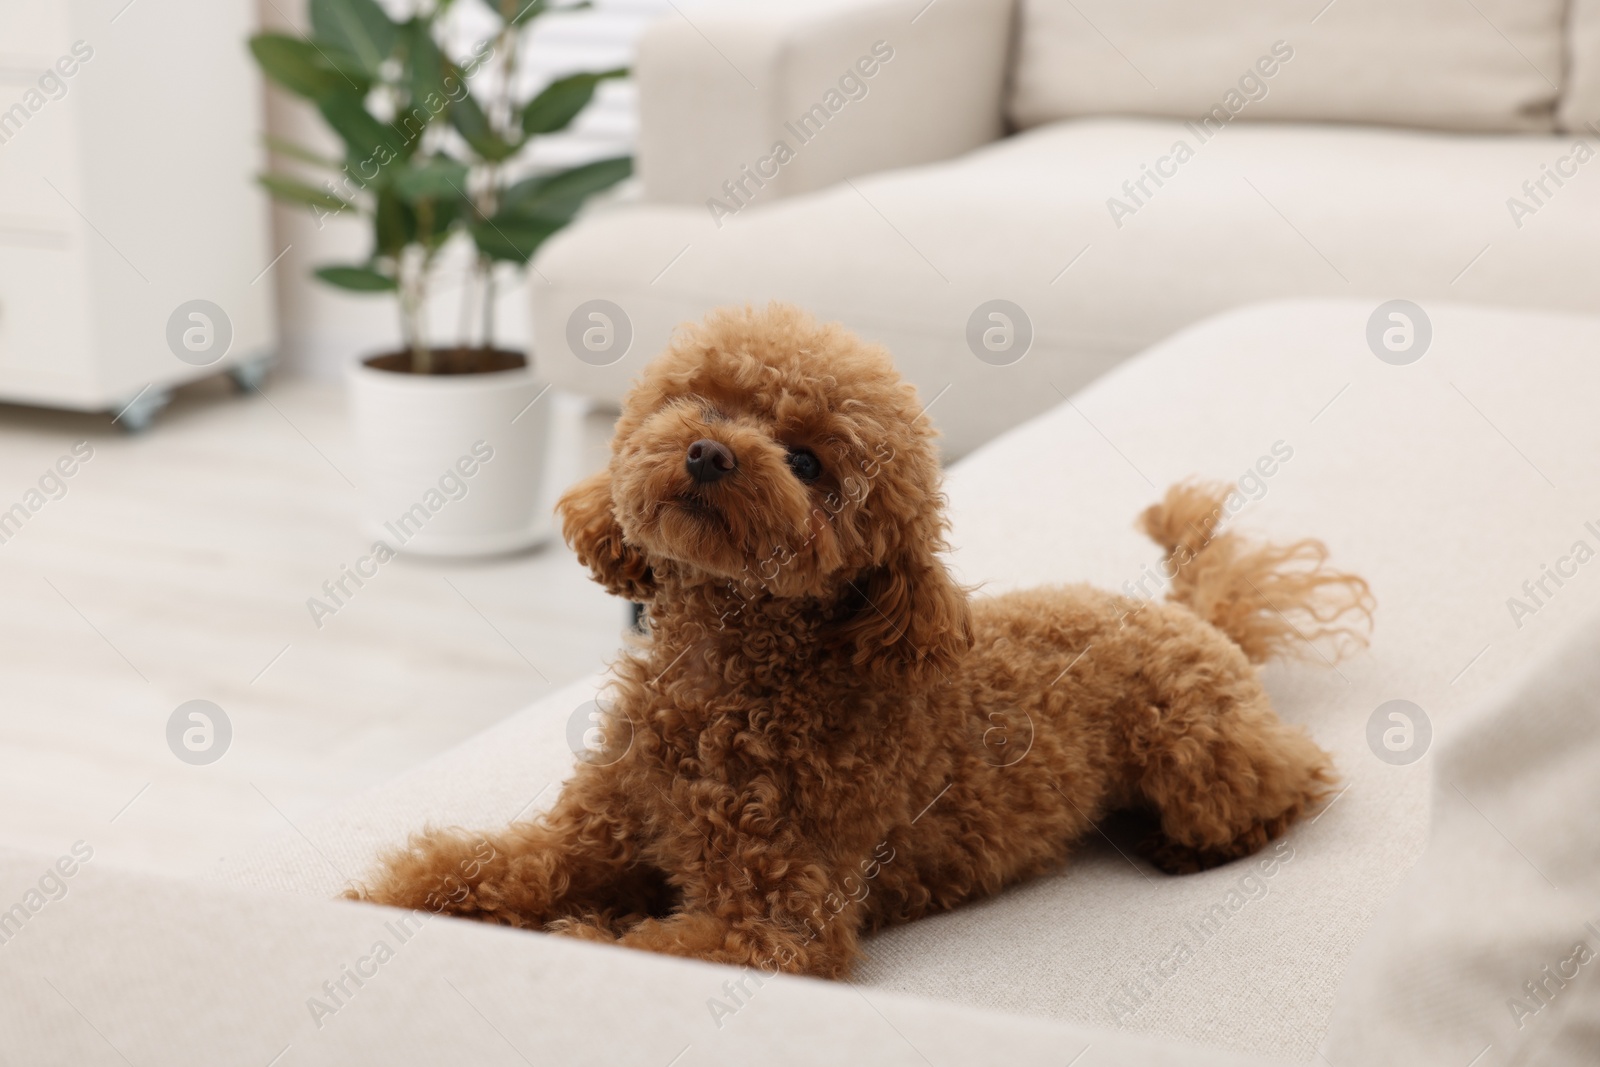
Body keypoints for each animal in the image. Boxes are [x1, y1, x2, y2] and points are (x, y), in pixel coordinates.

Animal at [353, 303, 1376, 979]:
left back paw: (1196, 847)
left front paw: (574, 937)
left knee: (1297, 778)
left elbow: (639, 943)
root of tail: (1193, 615)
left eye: (809, 462)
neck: (728, 679)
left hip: (1195, 746)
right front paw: (381, 901)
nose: (708, 452)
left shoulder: (778, 920)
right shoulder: (594, 832)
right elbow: (482, 867)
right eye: (707, 403)